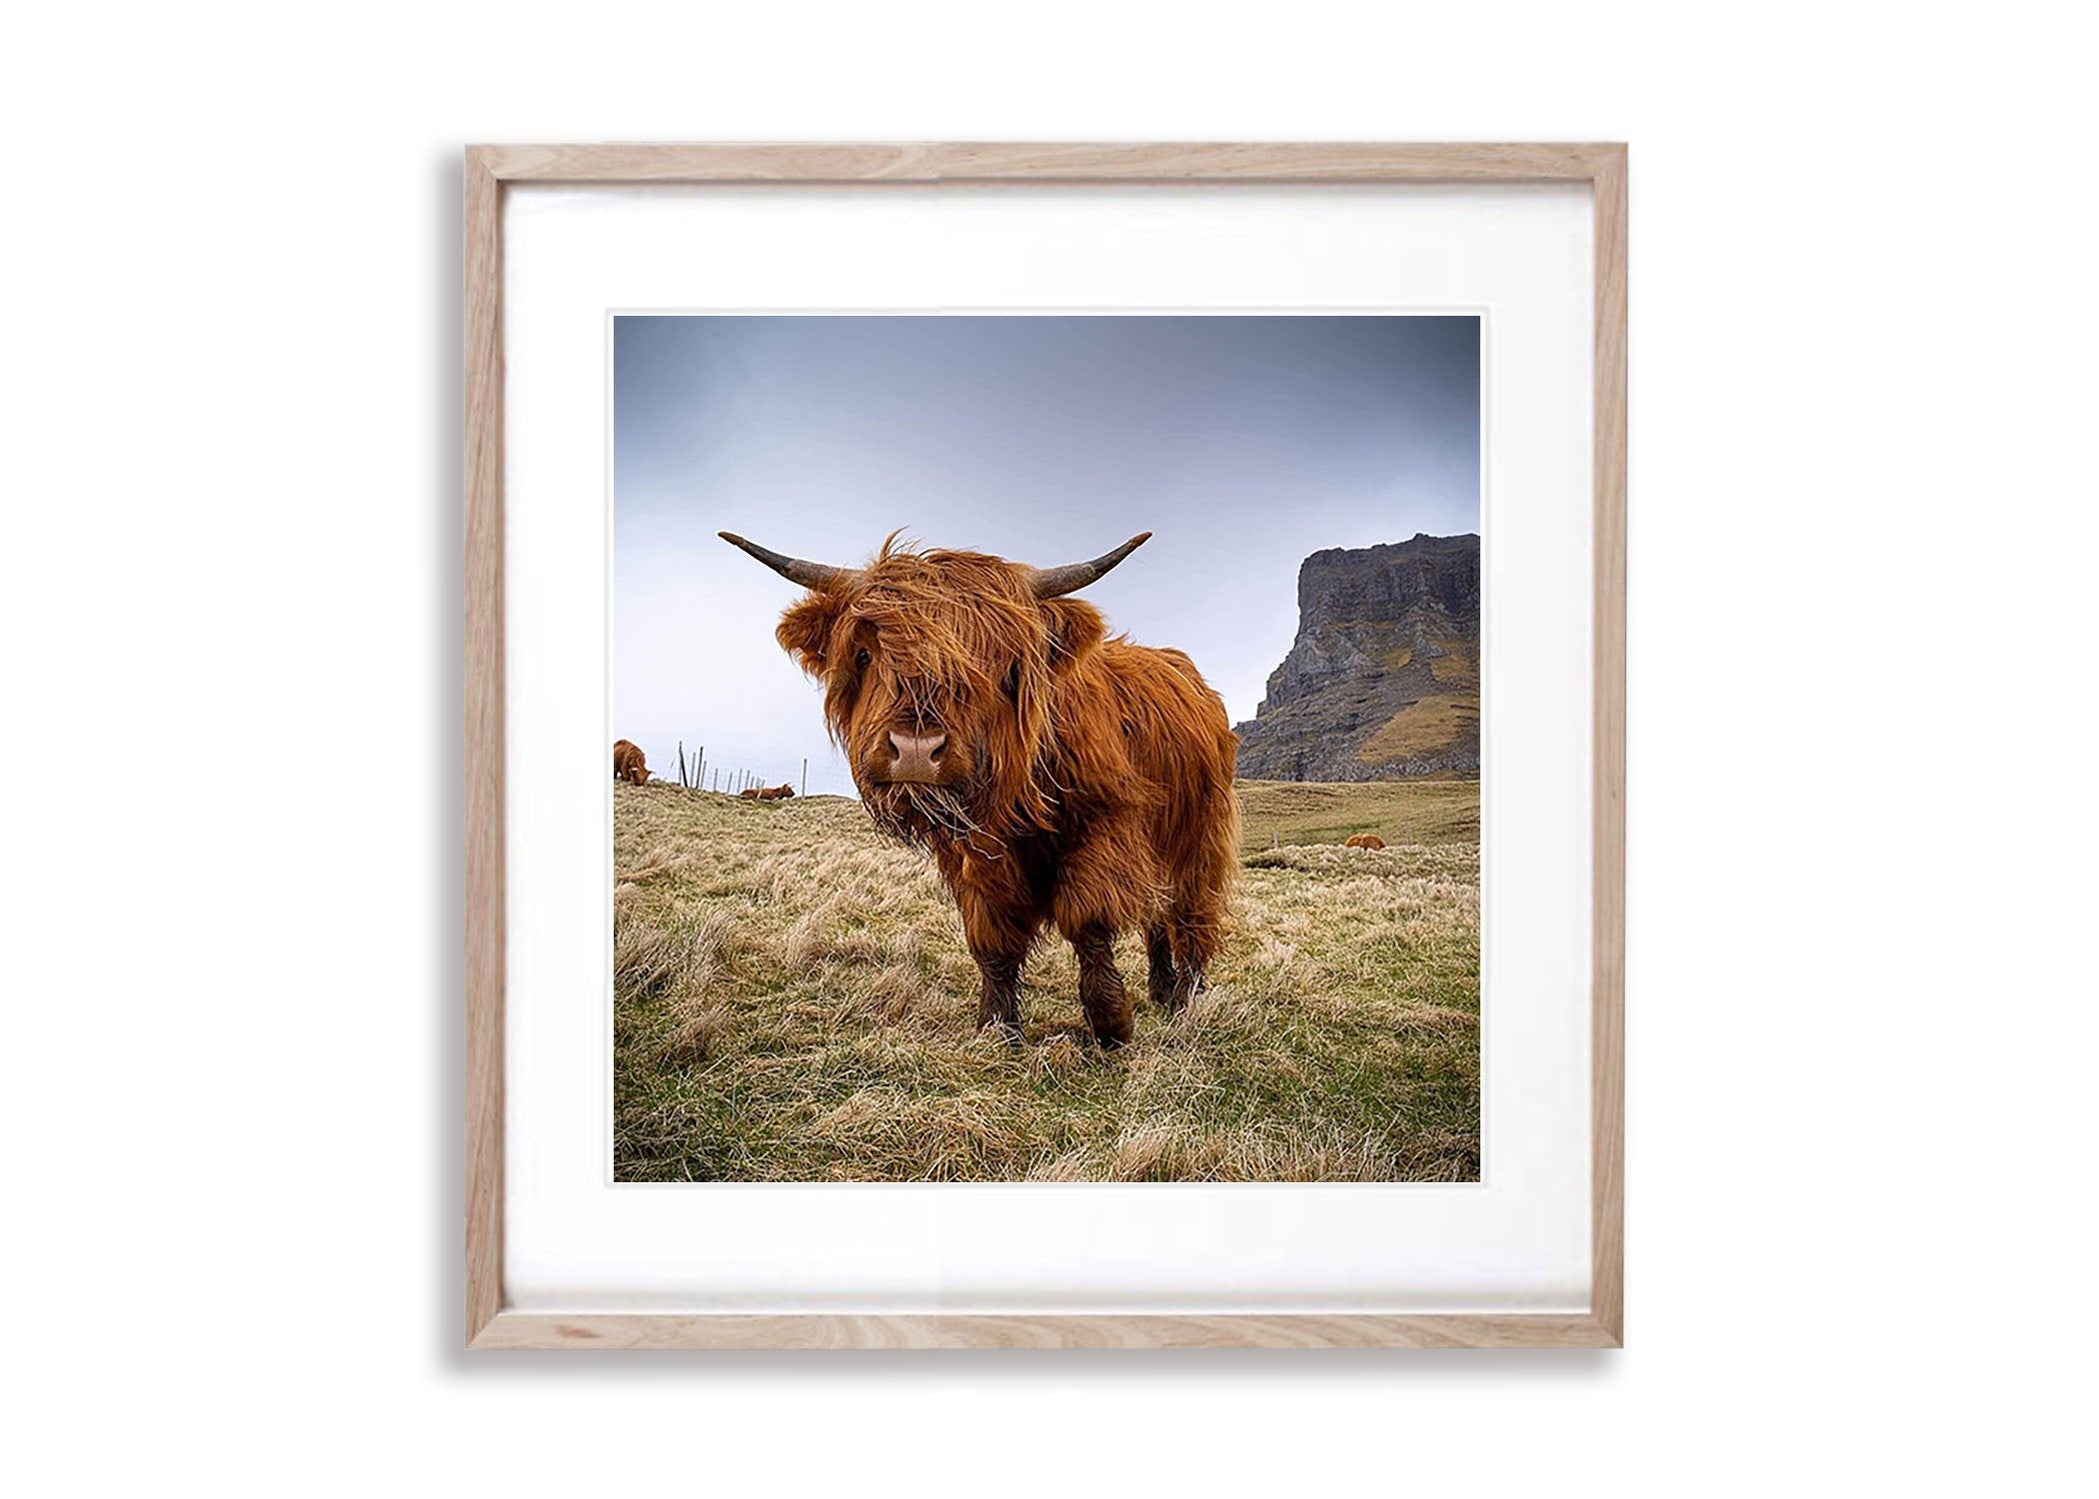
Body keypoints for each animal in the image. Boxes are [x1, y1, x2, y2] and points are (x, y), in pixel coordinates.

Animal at [721, 528, 1237, 1048]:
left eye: (996, 662)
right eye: (865, 654)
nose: (915, 749)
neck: (1015, 800)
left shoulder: (1106, 828)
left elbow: (1088, 921)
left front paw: (1111, 1021)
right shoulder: (974, 856)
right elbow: (992, 938)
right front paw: (998, 1025)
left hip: (1198, 835)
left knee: (1187, 911)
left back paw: (1188, 995)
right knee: (1159, 914)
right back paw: (1162, 988)